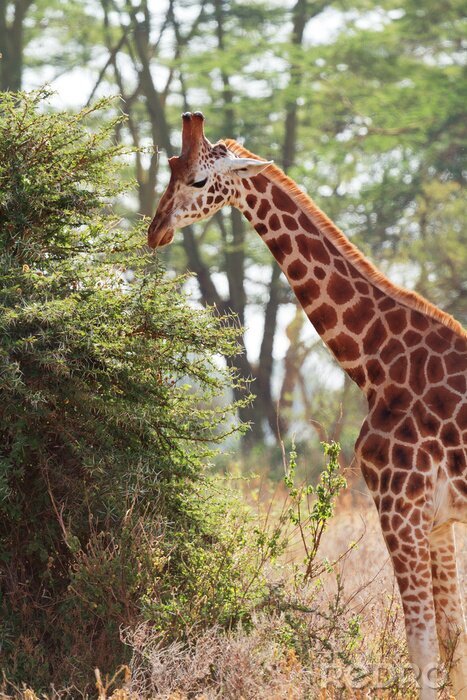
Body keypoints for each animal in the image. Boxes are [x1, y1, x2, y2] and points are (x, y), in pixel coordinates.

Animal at [148, 112, 467, 700]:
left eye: (199, 180)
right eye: (171, 168)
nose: (155, 229)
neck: (377, 364)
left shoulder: (400, 504)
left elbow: (423, 648)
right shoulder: (436, 520)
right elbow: (452, 647)